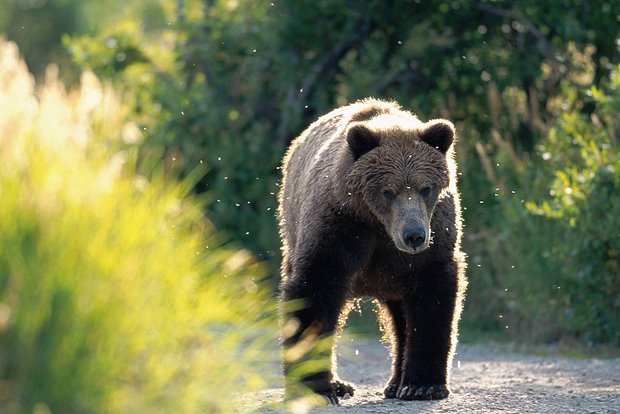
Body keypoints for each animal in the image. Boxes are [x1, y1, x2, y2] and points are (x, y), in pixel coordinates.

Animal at [278, 99, 468, 404]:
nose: (414, 236)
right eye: (387, 191)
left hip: (396, 277)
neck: (380, 226)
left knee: (401, 317)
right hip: (292, 229)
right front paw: (316, 387)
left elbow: (432, 301)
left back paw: (396, 384)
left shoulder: (433, 239)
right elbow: (315, 288)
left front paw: (423, 386)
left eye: (426, 188)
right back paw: (341, 385)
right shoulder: (340, 224)